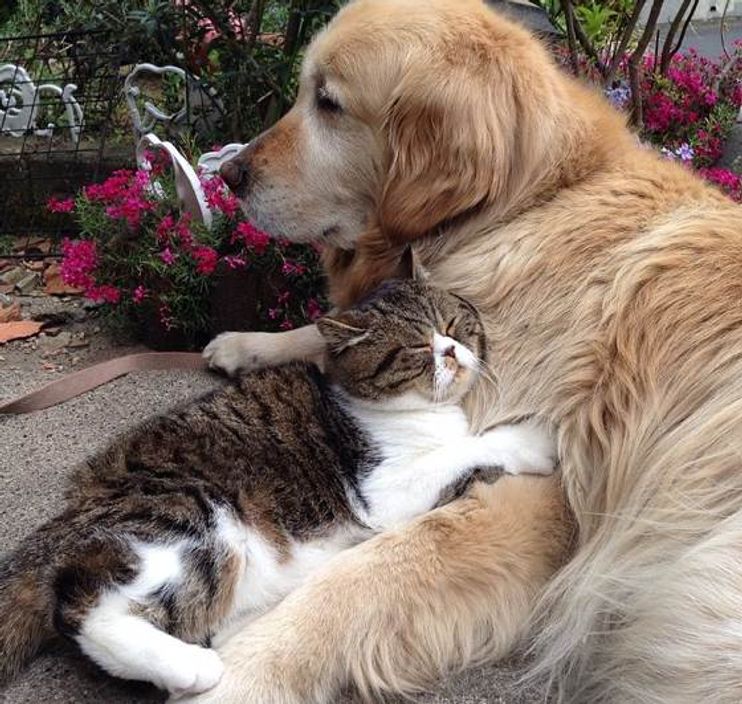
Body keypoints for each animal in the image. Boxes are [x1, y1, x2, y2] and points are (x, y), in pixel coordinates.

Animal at [0, 280, 556, 692]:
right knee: (84, 608)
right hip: (190, 519)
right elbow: (467, 447)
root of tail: (71, 513)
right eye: (417, 346)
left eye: (452, 325)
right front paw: (533, 439)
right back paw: (191, 668)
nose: (453, 351)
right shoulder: (383, 487)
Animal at [187, 1, 742, 704]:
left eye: (328, 102)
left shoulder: (540, 491)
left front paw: (240, 670)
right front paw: (249, 345)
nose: (229, 175)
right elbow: (333, 329)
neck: (518, 207)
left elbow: (366, 573)